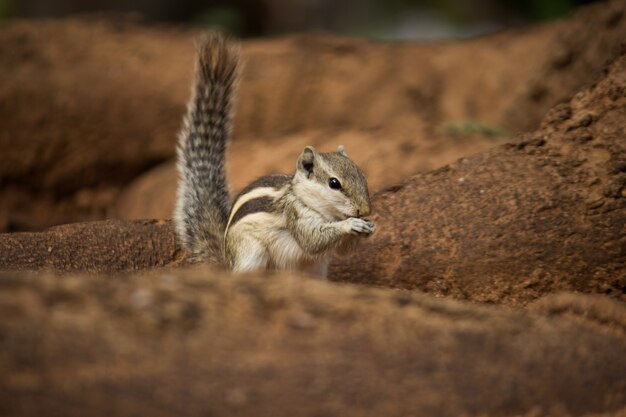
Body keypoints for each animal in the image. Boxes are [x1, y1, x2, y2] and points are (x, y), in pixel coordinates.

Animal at [173, 33, 372, 276]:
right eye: (334, 183)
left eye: (362, 176)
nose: (365, 210)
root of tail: (227, 260)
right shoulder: (296, 215)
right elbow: (312, 241)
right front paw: (351, 224)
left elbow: (342, 252)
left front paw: (368, 226)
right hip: (250, 254)